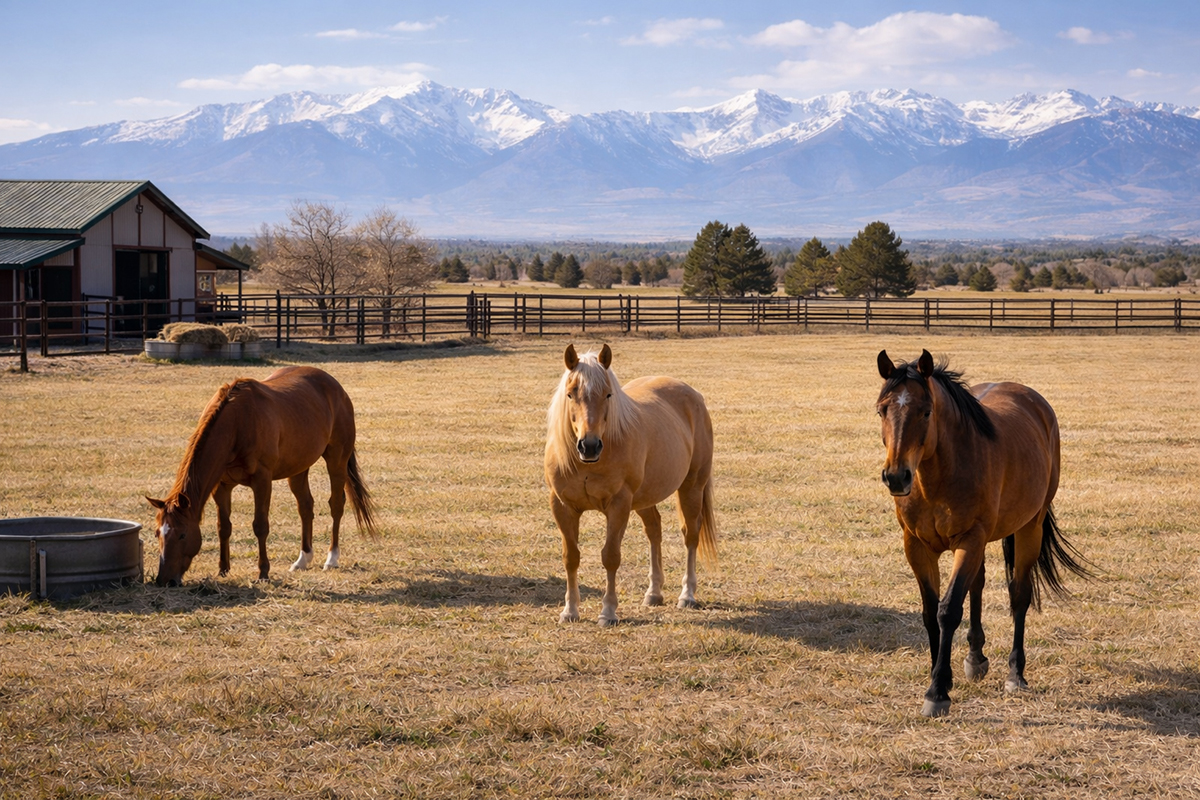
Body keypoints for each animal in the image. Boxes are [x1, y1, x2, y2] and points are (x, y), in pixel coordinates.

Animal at [147, 365, 378, 586]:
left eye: (182, 534)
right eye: (158, 533)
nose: (164, 580)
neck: (237, 423)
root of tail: (336, 387)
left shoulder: (262, 481)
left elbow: (260, 525)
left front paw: (263, 573)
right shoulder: (222, 486)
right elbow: (224, 527)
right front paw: (223, 570)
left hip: (336, 459)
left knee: (336, 505)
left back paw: (331, 559)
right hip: (298, 468)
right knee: (305, 507)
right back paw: (302, 560)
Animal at [544, 344, 718, 626]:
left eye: (608, 394)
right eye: (570, 394)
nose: (589, 446)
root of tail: (694, 395)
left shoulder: (619, 505)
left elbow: (610, 557)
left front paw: (608, 612)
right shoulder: (562, 506)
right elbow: (571, 557)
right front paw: (570, 611)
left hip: (692, 487)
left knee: (690, 535)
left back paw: (687, 595)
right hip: (645, 497)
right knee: (654, 530)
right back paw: (654, 593)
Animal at [875, 349, 1090, 717]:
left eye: (926, 411)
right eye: (882, 409)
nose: (896, 477)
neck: (939, 475)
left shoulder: (970, 540)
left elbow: (949, 610)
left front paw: (937, 691)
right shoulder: (916, 546)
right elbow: (930, 612)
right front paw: (939, 676)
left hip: (1029, 528)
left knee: (1019, 595)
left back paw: (1016, 673)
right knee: (977, 585)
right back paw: (975, 657)